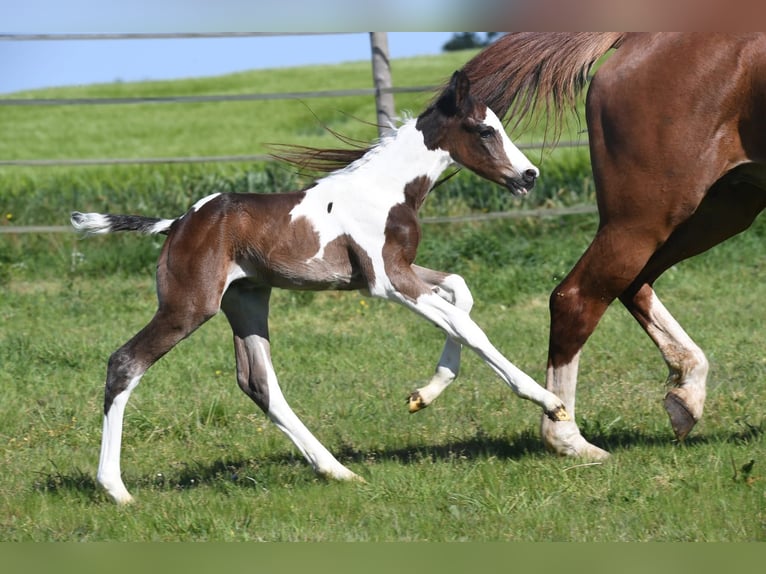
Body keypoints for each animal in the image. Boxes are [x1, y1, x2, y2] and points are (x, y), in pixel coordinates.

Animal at [71, 70, 570, 504]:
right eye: (484, 130)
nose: (529, 175)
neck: (386, 190)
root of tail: (177, 224)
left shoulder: (400, 269)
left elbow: (461, 294)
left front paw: (423, 394)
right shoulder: (387, 281)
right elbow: (469, 327)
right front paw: (550, 402)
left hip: (247, 301)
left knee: (259, 384)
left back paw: (337, 470)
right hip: (189, 305)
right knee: (125, 363)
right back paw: (115, 489)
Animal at [412, 33, 766, 458]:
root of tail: (638, 37)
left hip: (722, 209)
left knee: (629, 286)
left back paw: (685, 397)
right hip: (648, 215)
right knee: (577, 298)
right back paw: (568, 437)